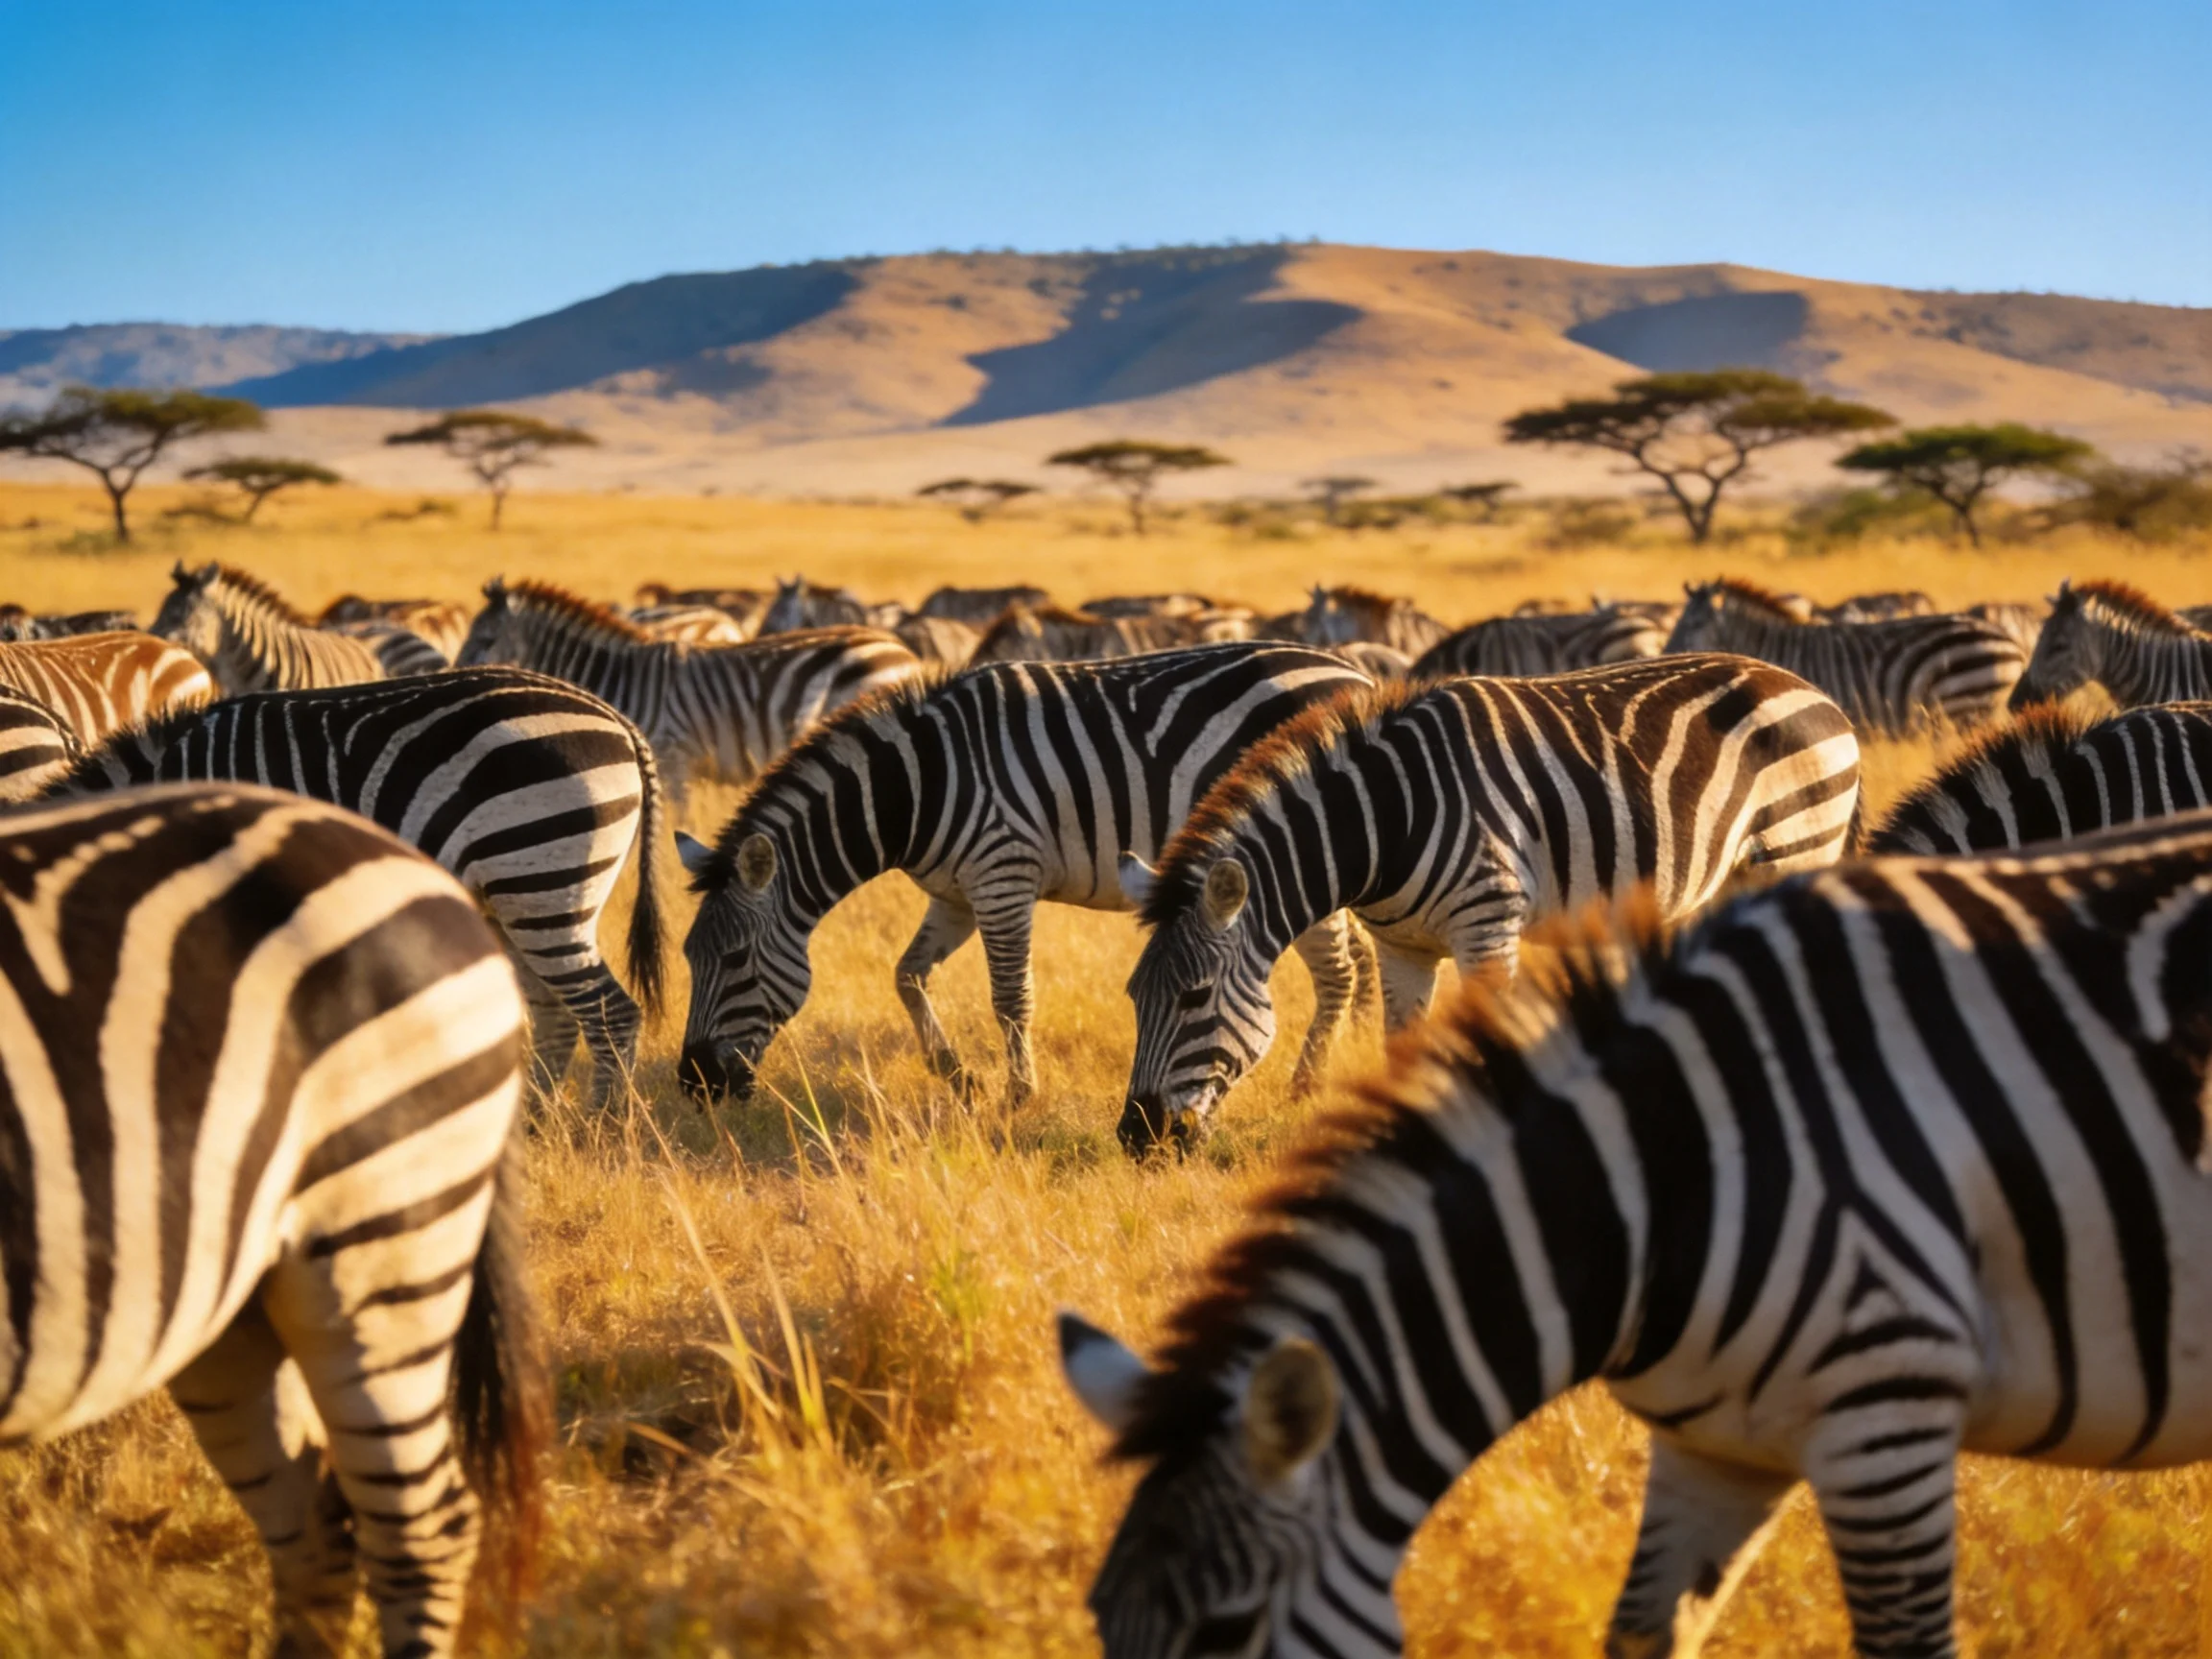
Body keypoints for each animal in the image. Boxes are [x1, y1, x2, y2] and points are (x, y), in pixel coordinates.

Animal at [50, 667, 668, 1109]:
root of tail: (616, 718)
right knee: (557, 1013)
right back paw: (537, 1125)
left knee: (610, 1014)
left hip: (540, 879)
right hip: (517, 896)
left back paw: (601, 1128)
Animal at [674, 642, 1378, 1106]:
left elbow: (1011, 998)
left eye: (734, 959)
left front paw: (1018, 1095)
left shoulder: (1003, 873)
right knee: (1363, 952)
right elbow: (908, 975)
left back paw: (1307, 1086)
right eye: (688, 958)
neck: (918, 787)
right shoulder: (955, 893)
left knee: (1338, 969)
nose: (694, 1084)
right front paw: (955, 1073)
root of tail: (1356, 671)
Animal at [1064, 810, 2212, 1659]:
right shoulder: (1714, 1445)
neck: (1672, 1167)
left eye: (1226, 1632)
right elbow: (1643, 1632)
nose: (1139, 1138)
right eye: (1097, 1619)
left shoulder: (1887, 1407)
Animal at [1117, 655, 1863, 1151]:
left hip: (1797, 846)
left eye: (1193, 997)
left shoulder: (1488, 926)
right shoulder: (1403, 947)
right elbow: (1403, 1048)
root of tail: (1807, 688)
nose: (1136, 1136)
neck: (1387, 821)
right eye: (1133, 999)